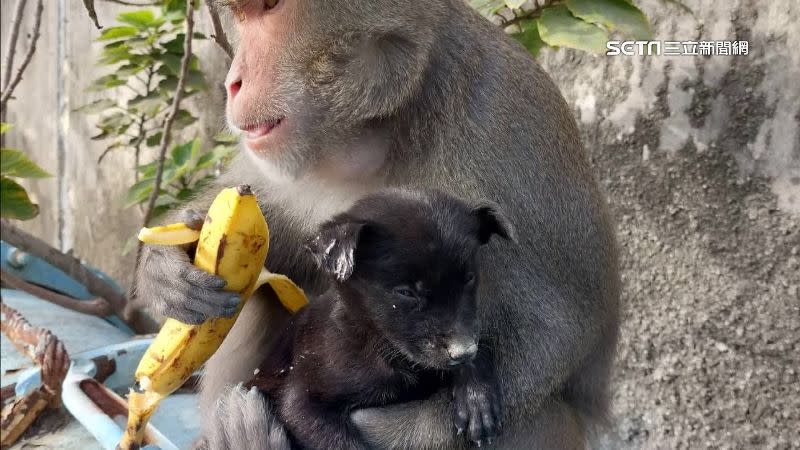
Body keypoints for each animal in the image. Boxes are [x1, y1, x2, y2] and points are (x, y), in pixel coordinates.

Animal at [247, 188, 516, 448]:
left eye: (469, 278)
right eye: (405, 292)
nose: (464, 352)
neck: (378, 345)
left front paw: (476, 396)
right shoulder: (302, 400)